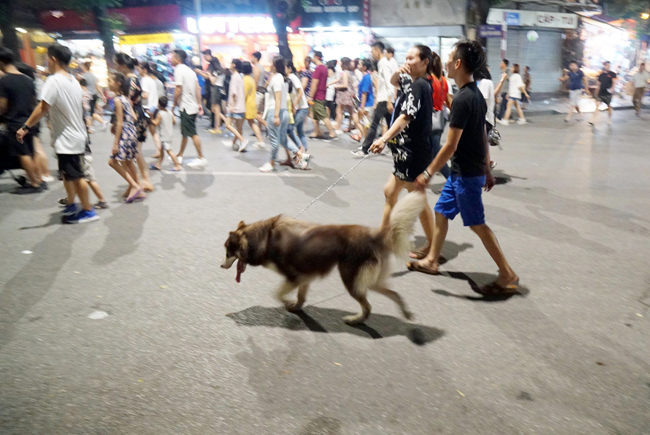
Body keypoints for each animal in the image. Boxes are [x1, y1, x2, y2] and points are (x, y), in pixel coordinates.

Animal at [220, 192, 428, 326]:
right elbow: (300, 296)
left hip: (351, 279)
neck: (265, 238)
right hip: (368, 280)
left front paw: (287, 303)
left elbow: (277, 294)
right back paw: (405, 313)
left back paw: (355, 320)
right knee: (394, 294)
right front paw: (296, 306)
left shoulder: (294, 277)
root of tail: (375, 234)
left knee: (368, 306)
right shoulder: (304, 277)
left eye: (228, 251)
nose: (221, 266)